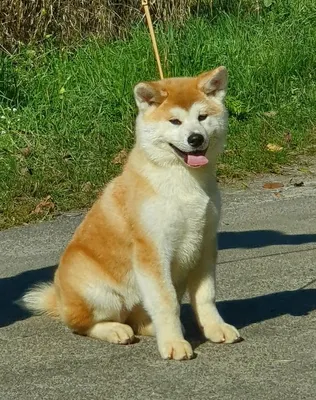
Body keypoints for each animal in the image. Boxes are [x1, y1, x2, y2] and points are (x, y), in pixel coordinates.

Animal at [21, 65, 239, 360]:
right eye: (175, 122)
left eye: (202, 117)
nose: (195, 138)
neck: (183, 181)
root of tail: (61, 299)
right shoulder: (153, 250)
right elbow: (166, 302)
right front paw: (173, 343)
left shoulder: (205, 243)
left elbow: (206, 296)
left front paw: (215, 328)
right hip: (97, 290)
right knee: (81, 325)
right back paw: (114, 330)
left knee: (136, 318)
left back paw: (150, 327)